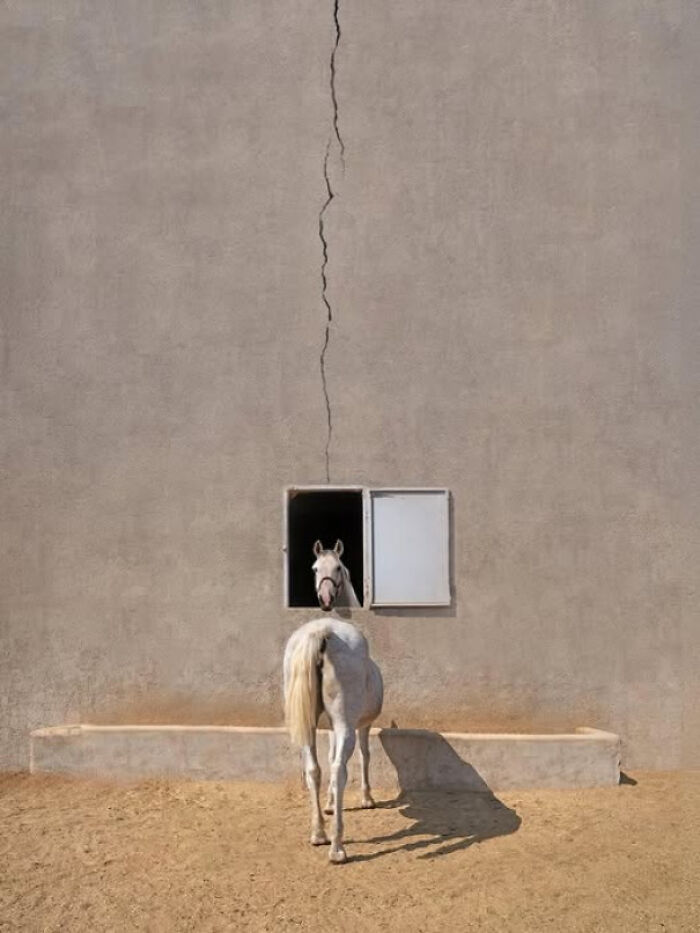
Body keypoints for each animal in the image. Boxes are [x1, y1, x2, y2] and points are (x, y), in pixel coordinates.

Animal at [283, 540, 383, 863]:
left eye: (338, 567)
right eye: (315, 568)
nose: (325, 598)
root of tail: (322, 632)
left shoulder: (326, 729)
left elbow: (324, 761)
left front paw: (327, 805)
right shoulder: (361, 726)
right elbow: (364, 756)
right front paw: (367, 798)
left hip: (309, 727)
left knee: (313, 769)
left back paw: (318, 834)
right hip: (345, 726)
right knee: (340, 770)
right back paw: (338, 847)